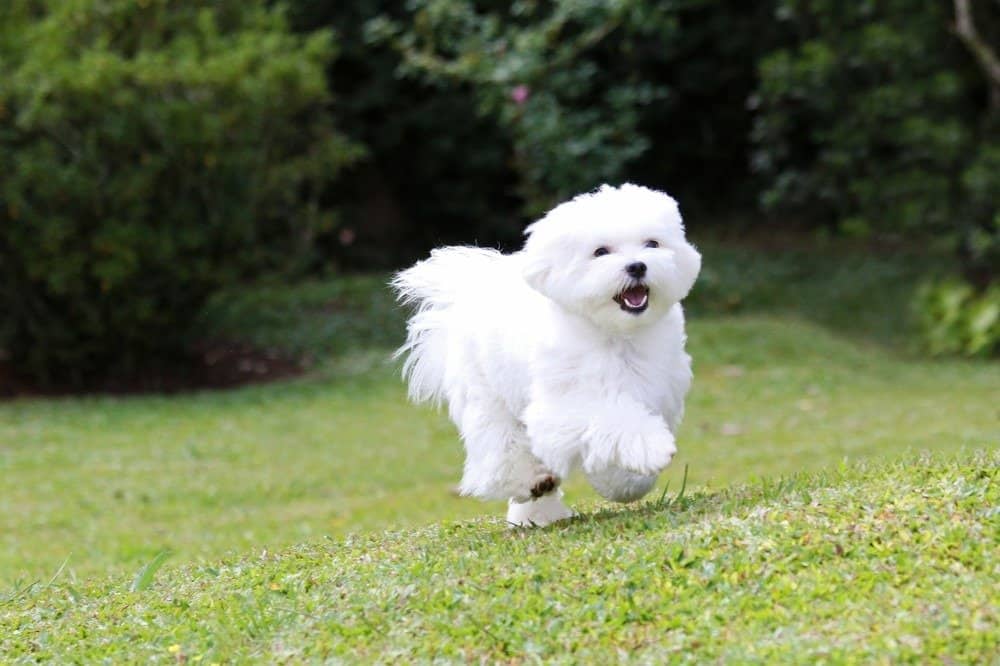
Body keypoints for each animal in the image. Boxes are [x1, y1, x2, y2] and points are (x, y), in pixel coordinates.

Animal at [392, 183, 704, 524]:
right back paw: (532, 482)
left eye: (652, 243)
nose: (637, 266)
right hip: (486, 397)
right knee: (503, 450)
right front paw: (650, 448)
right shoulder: (563, 407)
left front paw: (626, 482)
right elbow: (611, 419)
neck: (616, 335)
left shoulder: (660, 393)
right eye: (601, 252)